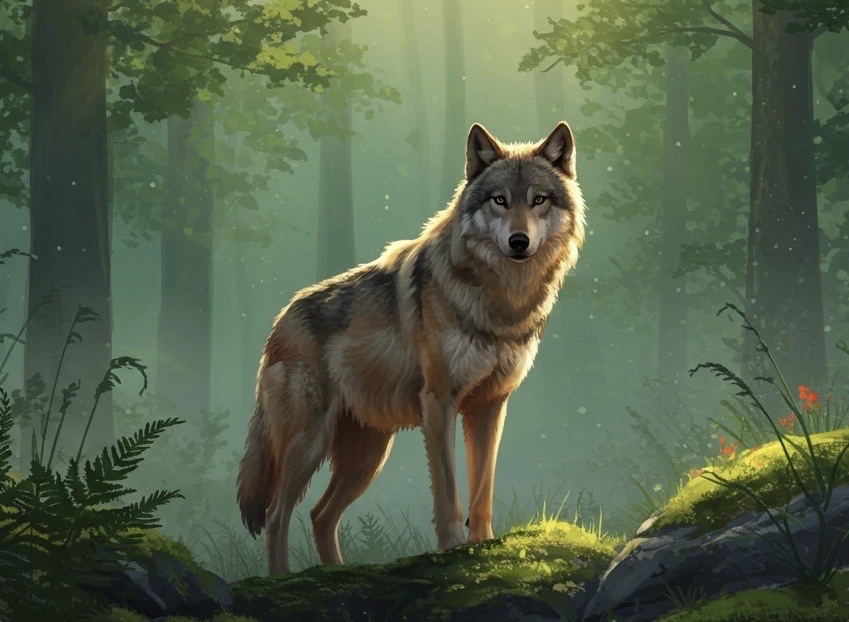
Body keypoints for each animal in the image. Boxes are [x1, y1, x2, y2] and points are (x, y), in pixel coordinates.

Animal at [237, 121, 586, 574]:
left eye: (538, 200)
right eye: (500, 200)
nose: (519, 241)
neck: (501, 300)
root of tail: (279, 322)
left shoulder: (490, 405)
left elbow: (482, 490)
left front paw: (484, 546)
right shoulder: (439, 403)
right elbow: (449, 494)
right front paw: (452, 549)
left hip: (367, 456)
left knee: (319, 515)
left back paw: (337, 572)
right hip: (309, 444)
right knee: (277, 515)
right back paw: (281, 579)